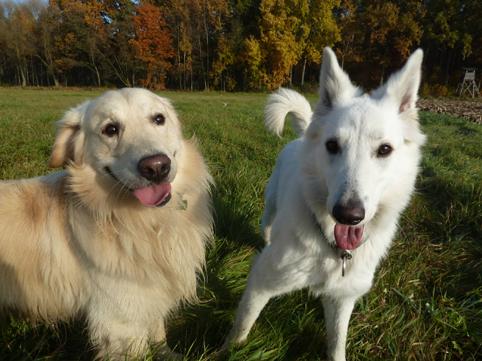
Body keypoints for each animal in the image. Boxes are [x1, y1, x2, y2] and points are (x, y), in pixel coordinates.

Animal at [223, 47, 426, 360]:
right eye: (332, 146)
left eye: (384, 150)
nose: (348, 215)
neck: (331, 246)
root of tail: (301, 135)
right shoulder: (261, 282)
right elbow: (243, 324)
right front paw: (226, 351)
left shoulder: (342, 299)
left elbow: (336, 342)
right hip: (270, 205)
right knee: (267, 223)